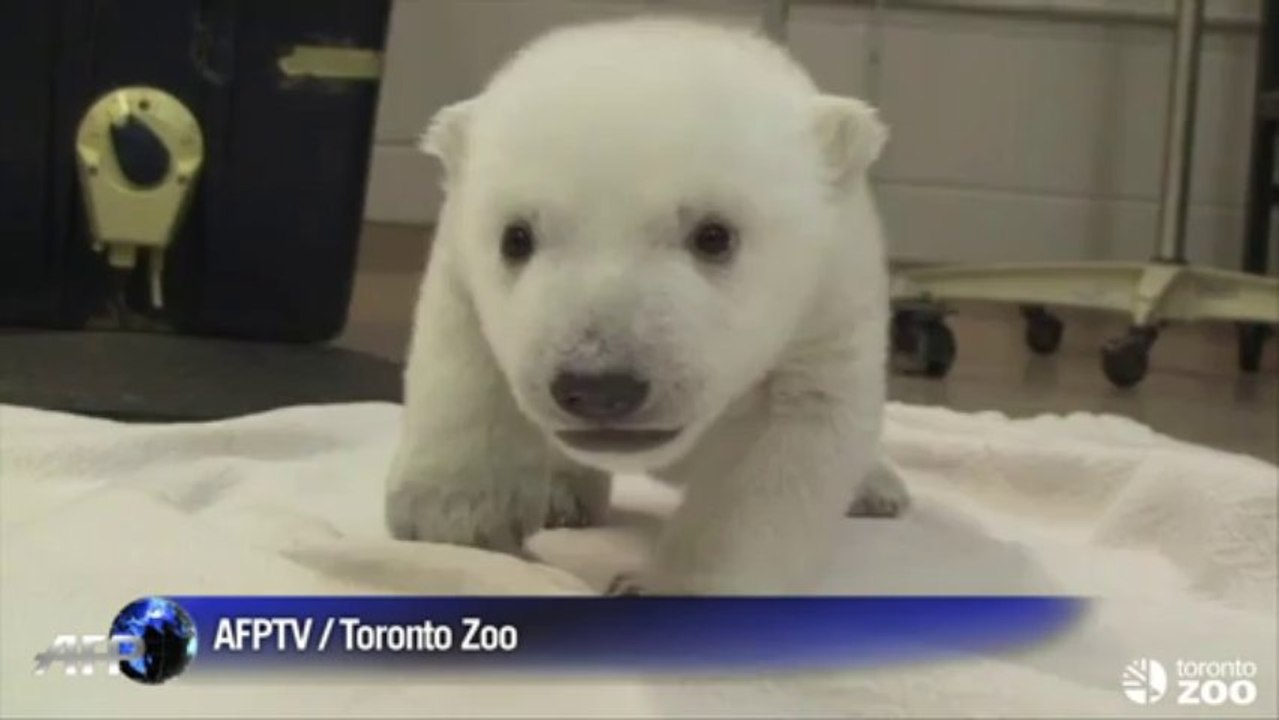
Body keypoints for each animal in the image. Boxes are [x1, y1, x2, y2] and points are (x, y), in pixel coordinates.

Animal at [385, 16, 907, 595]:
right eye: (515, 237)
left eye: (714, 235)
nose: (599, 387)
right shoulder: (458, 264)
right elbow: (463, 358)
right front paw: (456, 518)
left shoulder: (824, 314)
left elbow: (783, 451)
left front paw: (670, 586)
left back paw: (878, 487)